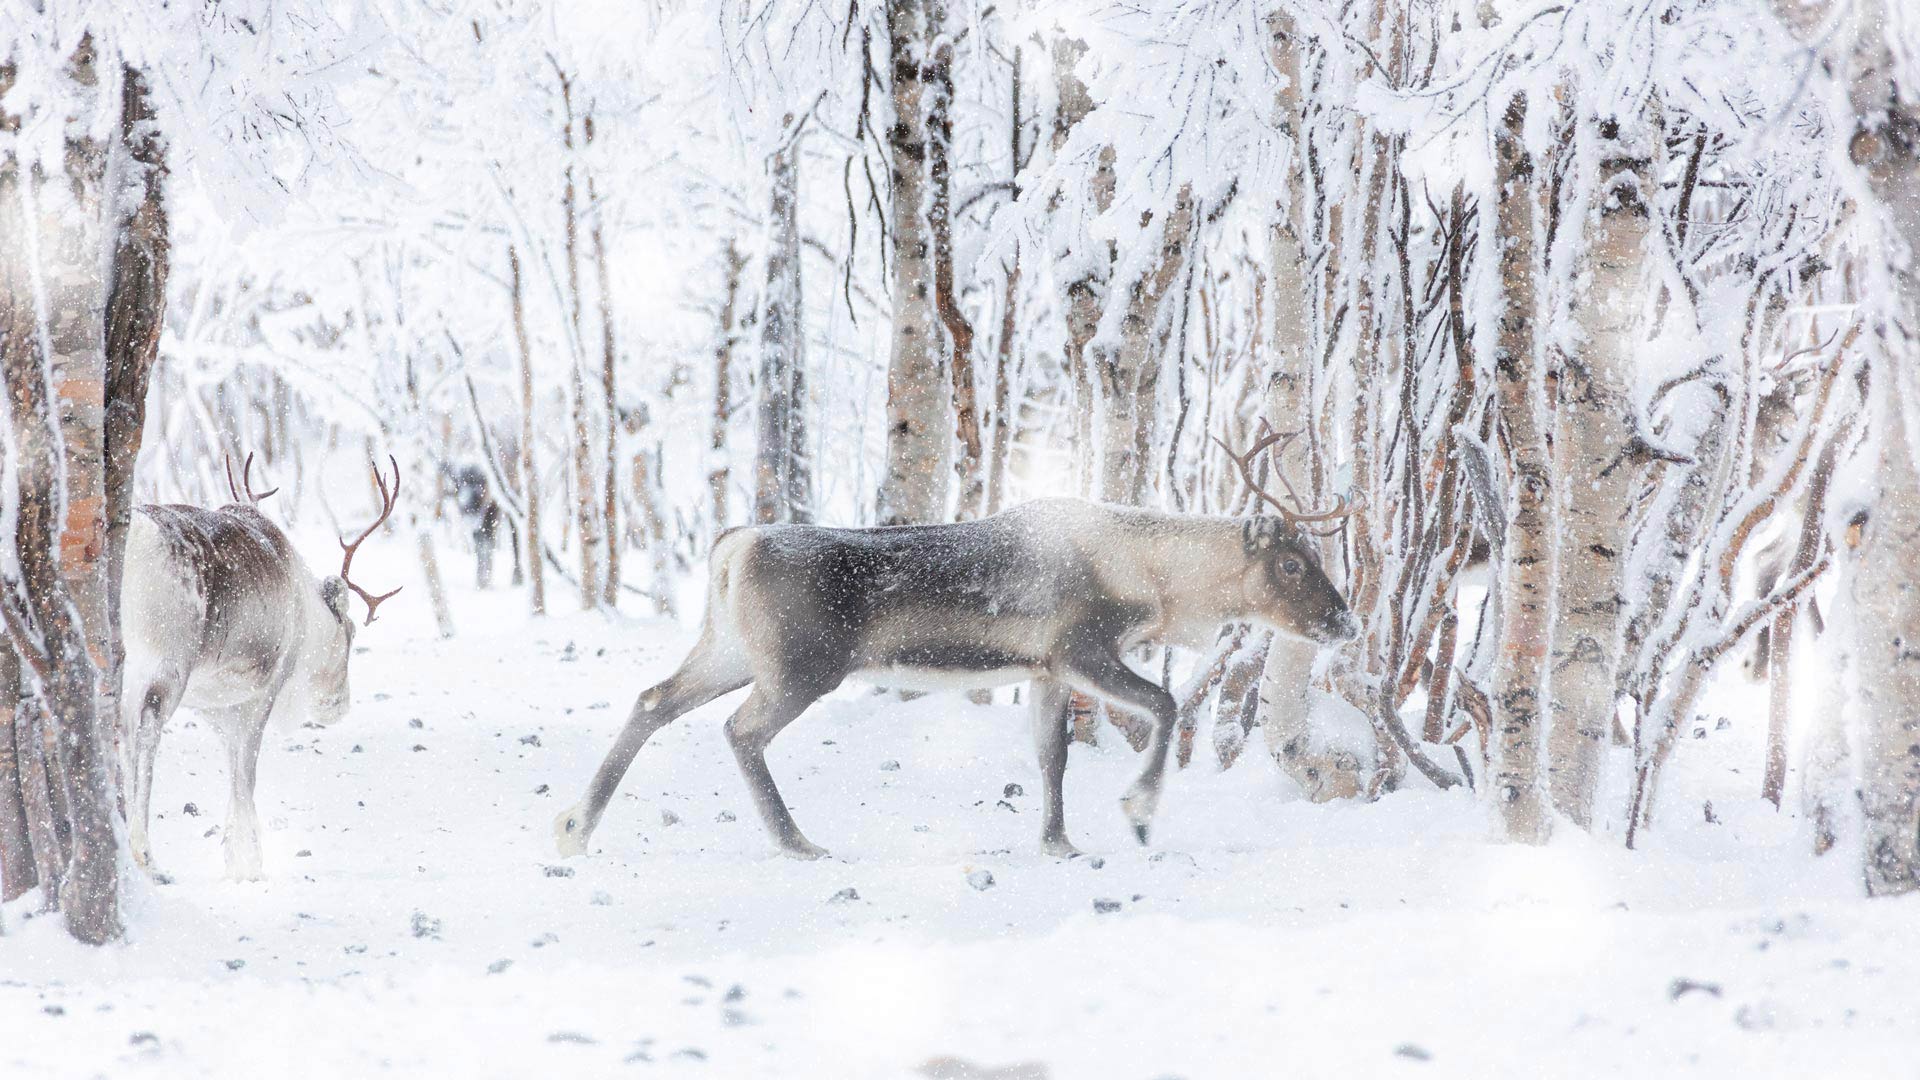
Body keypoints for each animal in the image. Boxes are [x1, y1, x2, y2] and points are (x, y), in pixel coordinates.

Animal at [118, 454, 403, 881]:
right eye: (350, 632)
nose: (339, 705)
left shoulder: (217, 706)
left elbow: (234, 767)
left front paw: (235, 854)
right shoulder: (264, 691)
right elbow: (246, 774)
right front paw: (249, 863)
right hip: (163, 663)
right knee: (145, 730)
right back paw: (145, 854)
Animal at [555, 425, 1360, 861]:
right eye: (1292, 563)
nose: (1346, 623)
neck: (1157, 582)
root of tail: (731, 545)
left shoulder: (1044, 668)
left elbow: (1051, 756)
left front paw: (1059, 842)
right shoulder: (1081, 647)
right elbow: (1163, 704)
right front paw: (1137, 814)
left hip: (729, 651)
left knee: (654, 699)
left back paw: (574, 828)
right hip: (800, 667)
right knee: (739, 729)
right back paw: (796, 842)